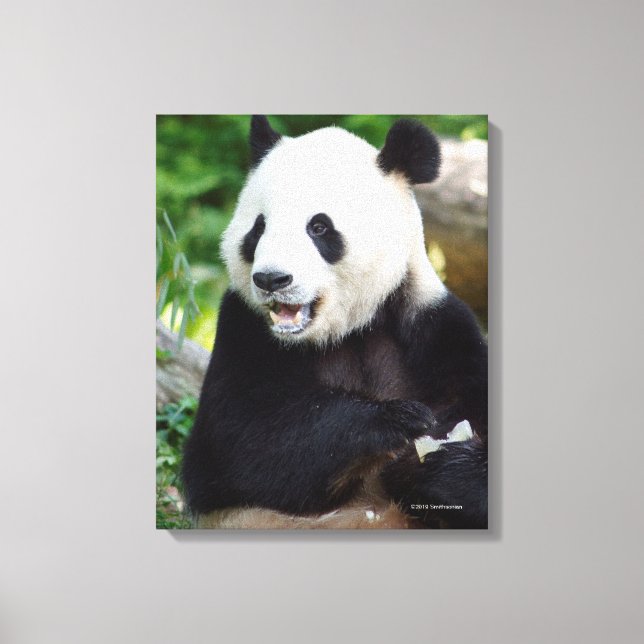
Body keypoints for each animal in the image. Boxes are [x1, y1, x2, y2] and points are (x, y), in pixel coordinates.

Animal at [182, 115, 488, 529]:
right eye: (258, 228)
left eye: (319, 227)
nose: (271, 279)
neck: (348, 329)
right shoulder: (242, 330)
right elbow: (243, 443)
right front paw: (397, 419)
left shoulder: (436, 327)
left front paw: (441, 467)